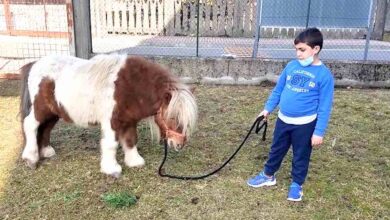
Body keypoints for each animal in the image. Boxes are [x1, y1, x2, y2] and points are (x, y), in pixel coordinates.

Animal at [19, 54, 197, 178]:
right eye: (173, 117)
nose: (180, 144)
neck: (131, 87)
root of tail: (34, 64)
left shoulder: (129, 121)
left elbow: (131, 140)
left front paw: (134, 162)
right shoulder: (112, 122)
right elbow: (111, 144)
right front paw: (112, 169)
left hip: (53, 112)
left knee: (45, 128)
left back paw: (46, 151)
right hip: (40, 109)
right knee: (30, 125)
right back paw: (31, 158)